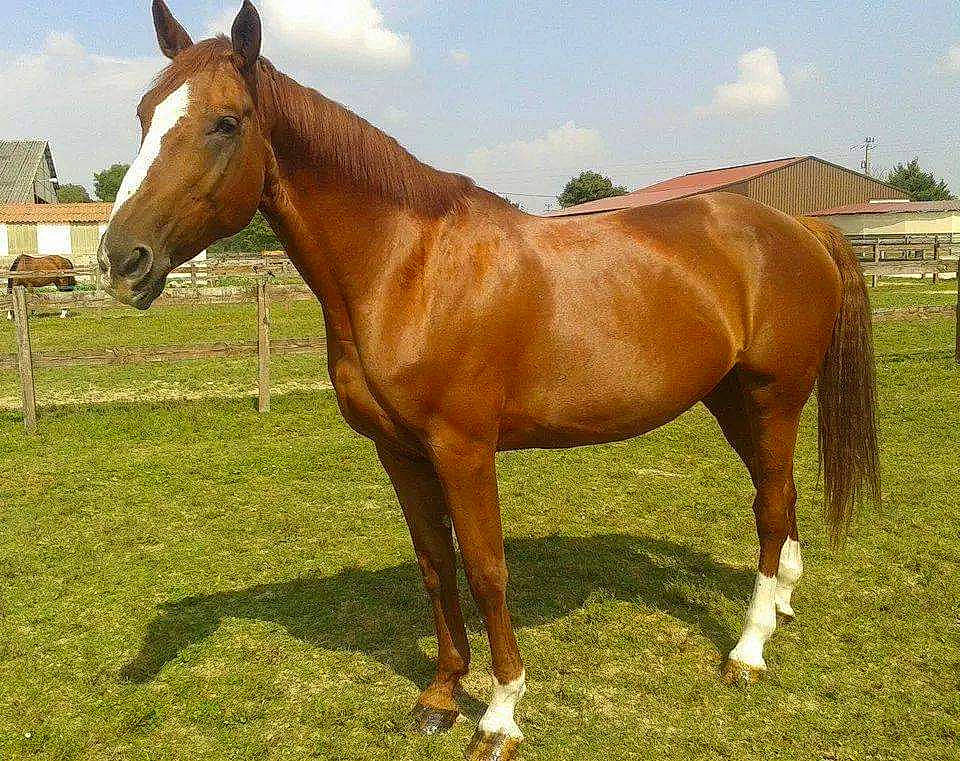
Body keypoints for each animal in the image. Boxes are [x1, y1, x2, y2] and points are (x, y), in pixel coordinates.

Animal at [97, 3, 880, 759]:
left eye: (225, 122)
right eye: (143, 114)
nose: (121, 260)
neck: (407, 268)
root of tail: (801, 228)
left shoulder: (464, 451)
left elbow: (485, 568)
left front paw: (500, 712)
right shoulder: (400, 452)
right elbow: (435, 565)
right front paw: (441, 697)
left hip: (772, 398)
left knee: (770, 505)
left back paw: (748, 650)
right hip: (731, 400)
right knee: (779, 498)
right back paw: (782, 604)